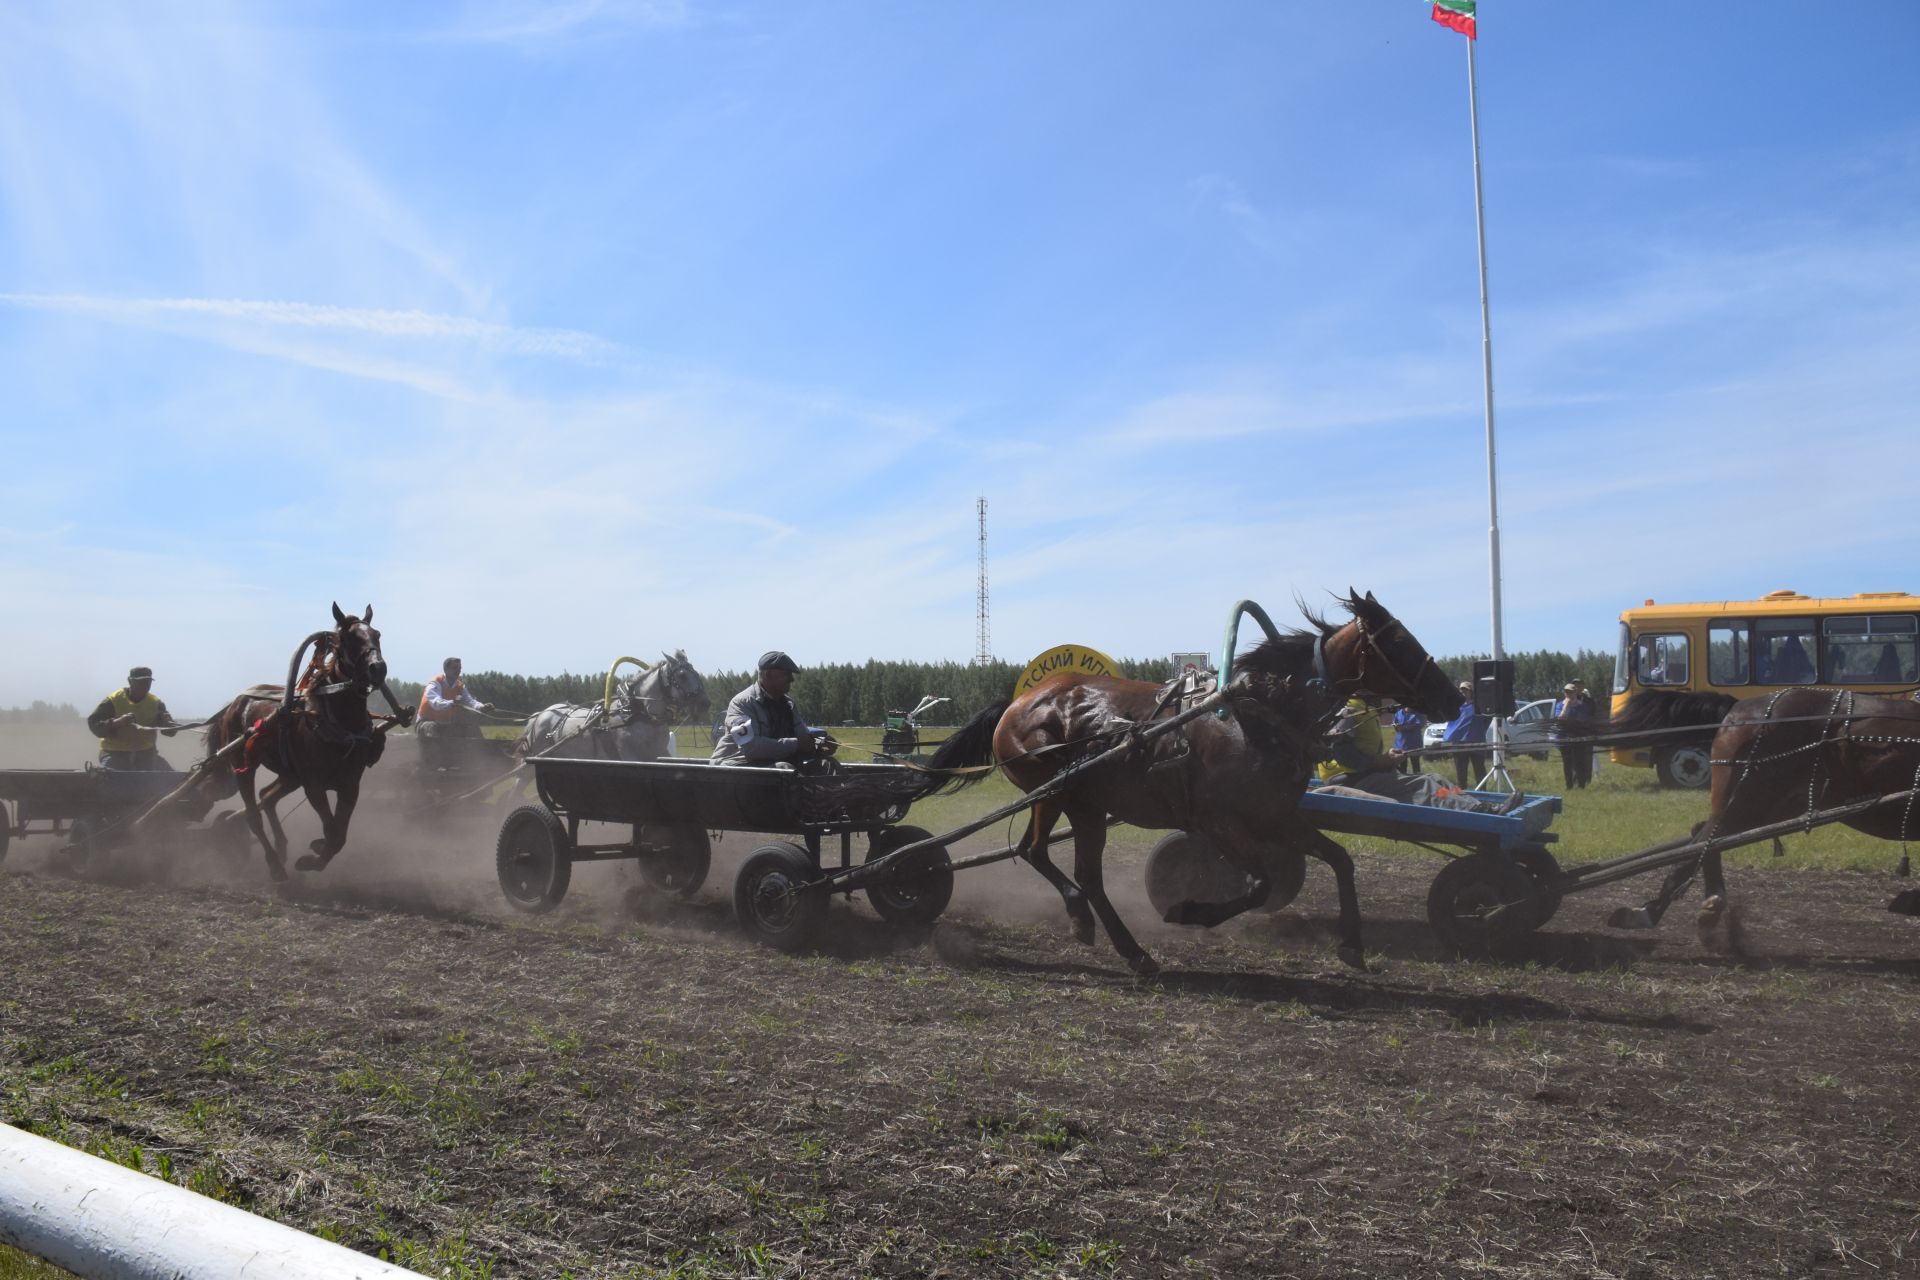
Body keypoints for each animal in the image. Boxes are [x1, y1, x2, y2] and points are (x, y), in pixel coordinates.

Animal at [202, 602, 408, 882]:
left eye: (377, 634)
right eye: (348, 638)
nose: (378, 669)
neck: (339, 723)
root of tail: (235, 703)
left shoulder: (350, 785)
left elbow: (339, 835)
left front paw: (316, 852)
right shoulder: (313, 785)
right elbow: (331, 830)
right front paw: (312, 858)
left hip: (290, 775)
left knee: (267, 797)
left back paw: (281, 848)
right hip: (243, 765)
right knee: (253, 815)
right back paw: (274, 864)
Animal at [514, 652, 710, 759]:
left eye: (696, 672)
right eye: (682, 676)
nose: (705, 703)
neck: (636, 712)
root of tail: (540, 715)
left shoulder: (658, 753)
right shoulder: (629, 756)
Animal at [925, 594, 1451, 974]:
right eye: (1399, 643)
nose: (1450, 696)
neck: (1260, 713)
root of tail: (1018, 704)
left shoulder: (1276, 816)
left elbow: (1340, 860)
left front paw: (1352, 944)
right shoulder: (1217, 821)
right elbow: (1259, 883)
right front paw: (1189, 911)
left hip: (1086, 805)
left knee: (1077, 871)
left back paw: (1127, 947)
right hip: (1056, 792)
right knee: (1038, 854)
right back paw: (1093, 924)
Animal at [1566, 687, 1920, 948]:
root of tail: (1738, 708)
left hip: (1770, 805)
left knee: (1706, 839)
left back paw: (1708, 908)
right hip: (1751, 800)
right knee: (1703, 842)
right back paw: (1648, 913)